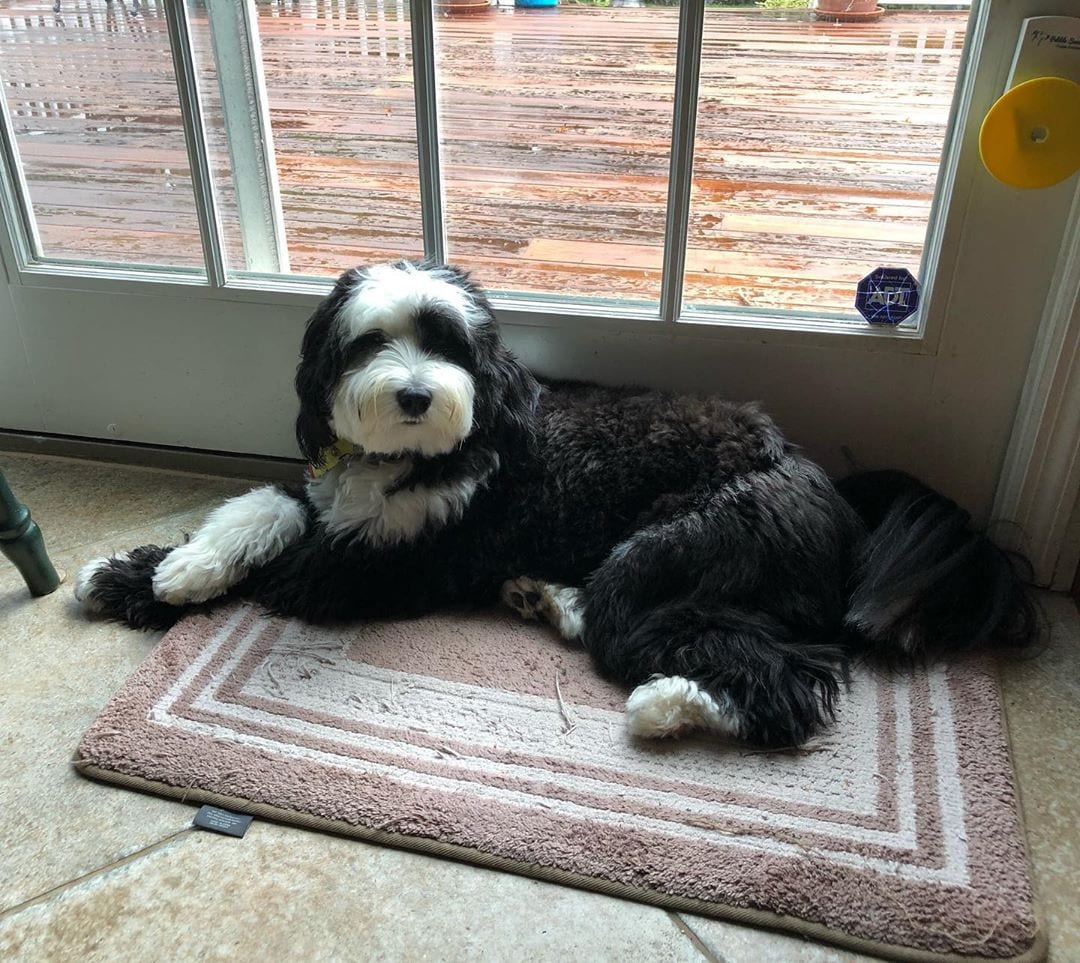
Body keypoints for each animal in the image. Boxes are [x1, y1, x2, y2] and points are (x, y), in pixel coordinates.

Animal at [71, 263, 1032, 751]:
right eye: (370, 342)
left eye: (448, 343)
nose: (415, 393)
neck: (416, 455)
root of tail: (827, 491)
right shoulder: (332, 503)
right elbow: (263, 507)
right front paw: (152, 571)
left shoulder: (396, 561)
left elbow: (287, 563)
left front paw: (171, 581)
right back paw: (545, 596)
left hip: (671, 554)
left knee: (783, 676)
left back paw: (665, 701)